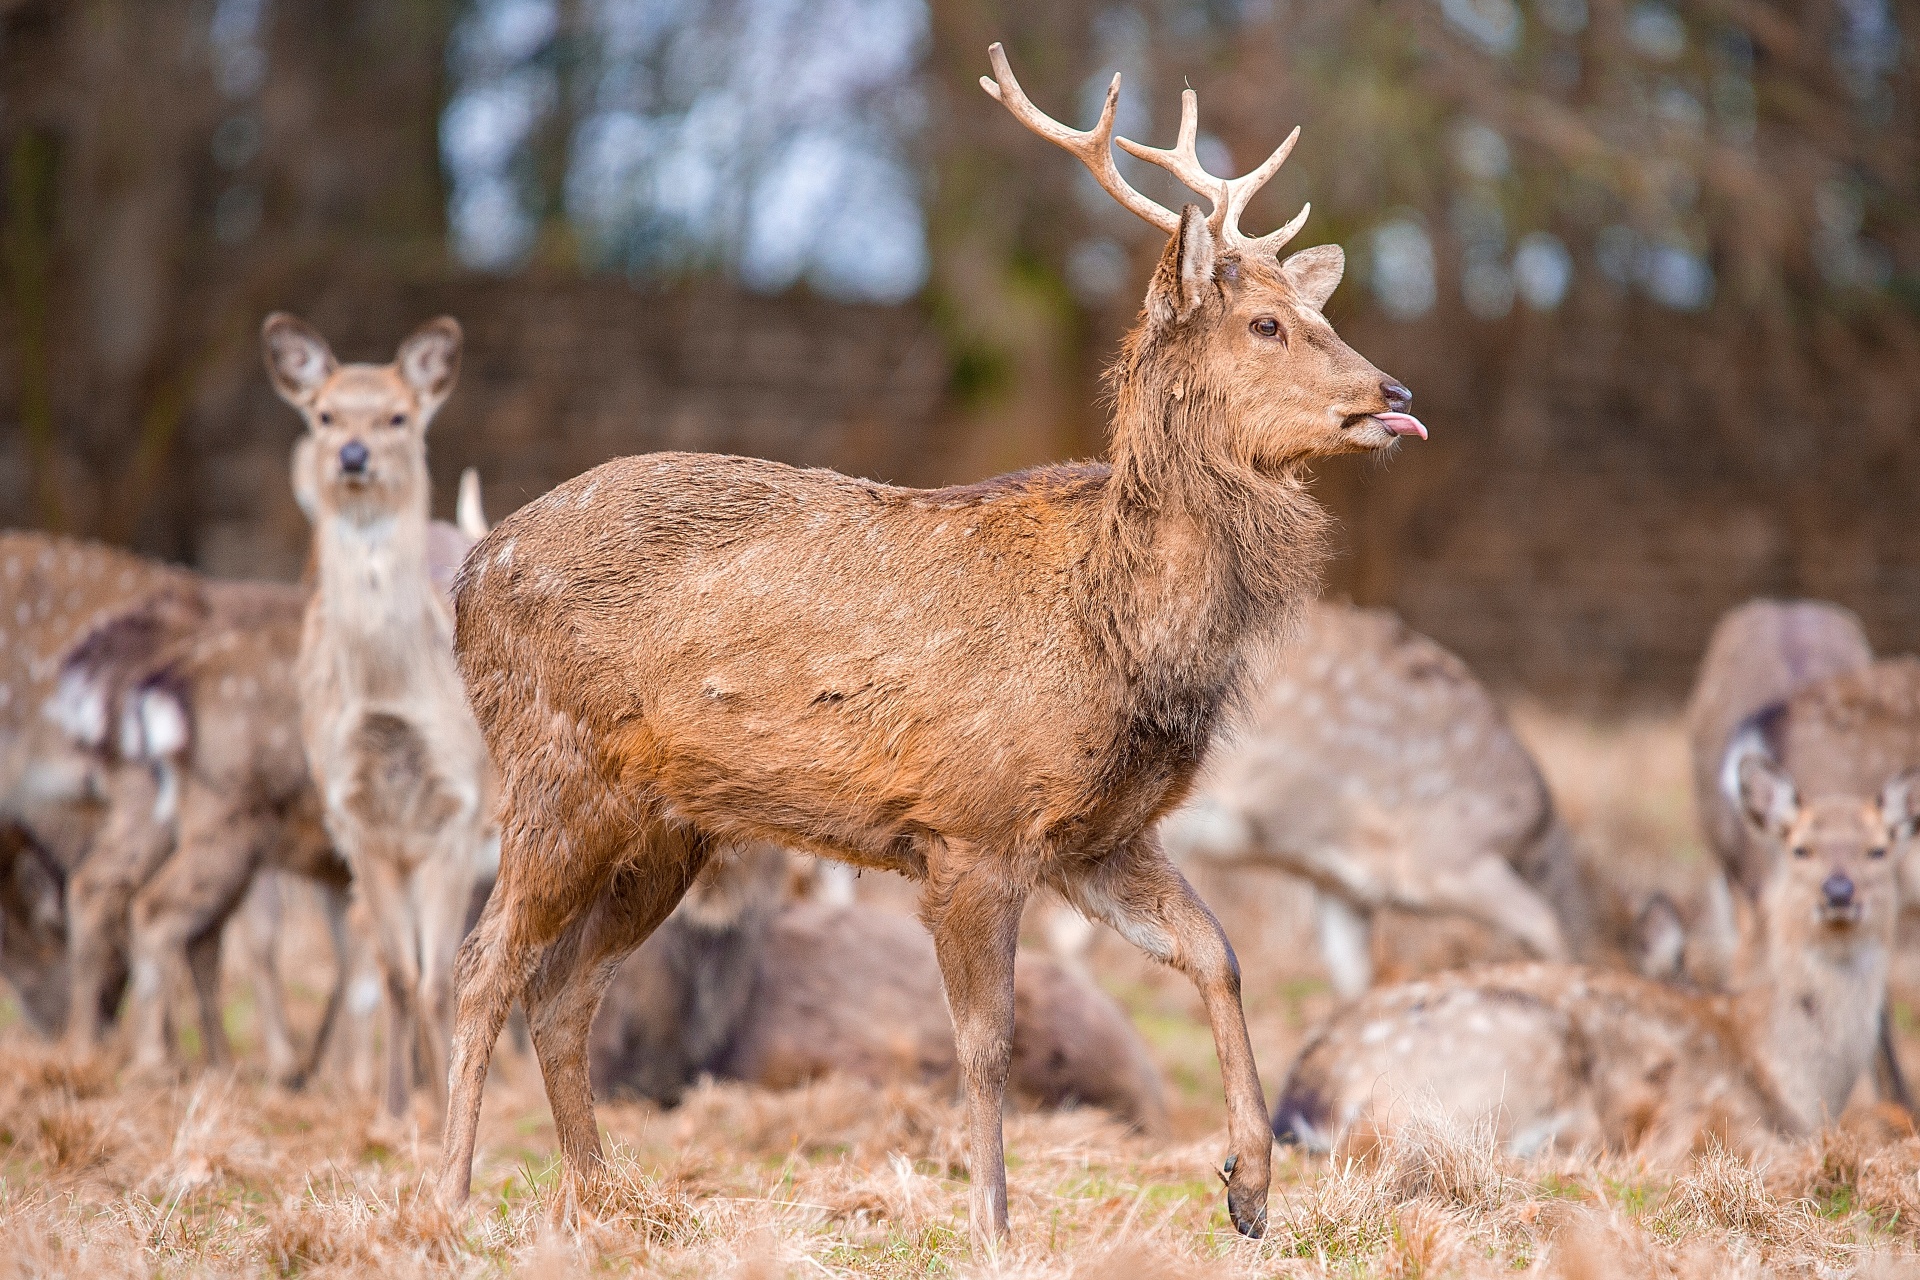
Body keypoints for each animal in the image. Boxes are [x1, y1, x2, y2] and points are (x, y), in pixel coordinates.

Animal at [266, 310, 499, 1128]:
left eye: (398, 415)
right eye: (324, 413)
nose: (354, 455)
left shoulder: (458, 812)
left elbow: (435, 977)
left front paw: (438, 1113)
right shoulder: (356, 820)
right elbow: (400, 975)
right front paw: (398, 1114)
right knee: (377, 960)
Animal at [1274, 660, 1920, 1159]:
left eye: (1879, 849)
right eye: (1800, 847)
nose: (1839, 891)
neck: (1787, 1074)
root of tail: (1305, 1096)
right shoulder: (1710, 1116)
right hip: (1516, 1047)